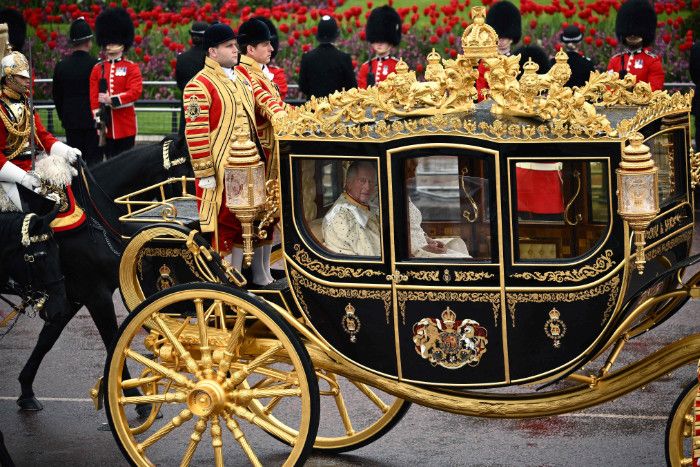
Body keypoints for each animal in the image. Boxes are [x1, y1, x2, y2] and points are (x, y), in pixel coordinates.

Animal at [17, 136, 191, 414]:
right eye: (188, 171)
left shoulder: (71, 295)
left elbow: (46, 339)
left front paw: (26, 389)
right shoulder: (95, 294)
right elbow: (111, 340)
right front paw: (133, 397)